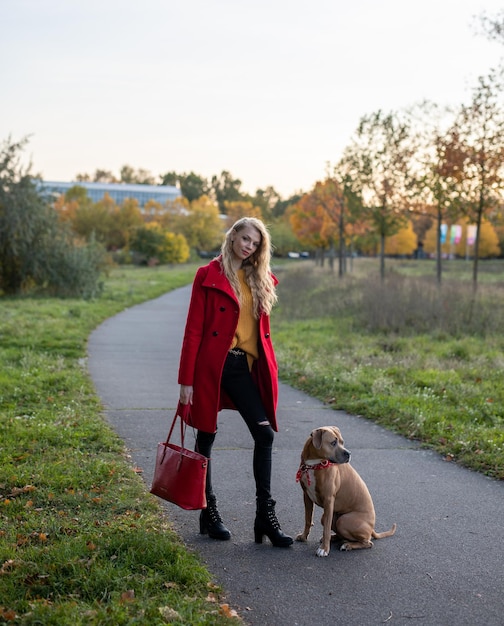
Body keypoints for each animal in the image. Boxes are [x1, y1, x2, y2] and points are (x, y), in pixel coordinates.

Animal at [296, 424, 398, 556]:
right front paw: (304, 537)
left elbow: (326, 529)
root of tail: (372, 529)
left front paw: (324, 549)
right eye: (333, 443)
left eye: (342, 442)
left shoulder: (329, 500)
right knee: (340, 533)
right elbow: (308, 520)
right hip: (331, 517)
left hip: (343, 521)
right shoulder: (307, 496)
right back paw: (335, 538)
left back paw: (348, 545)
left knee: (368, 542)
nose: (349, 453)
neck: (314, 464)